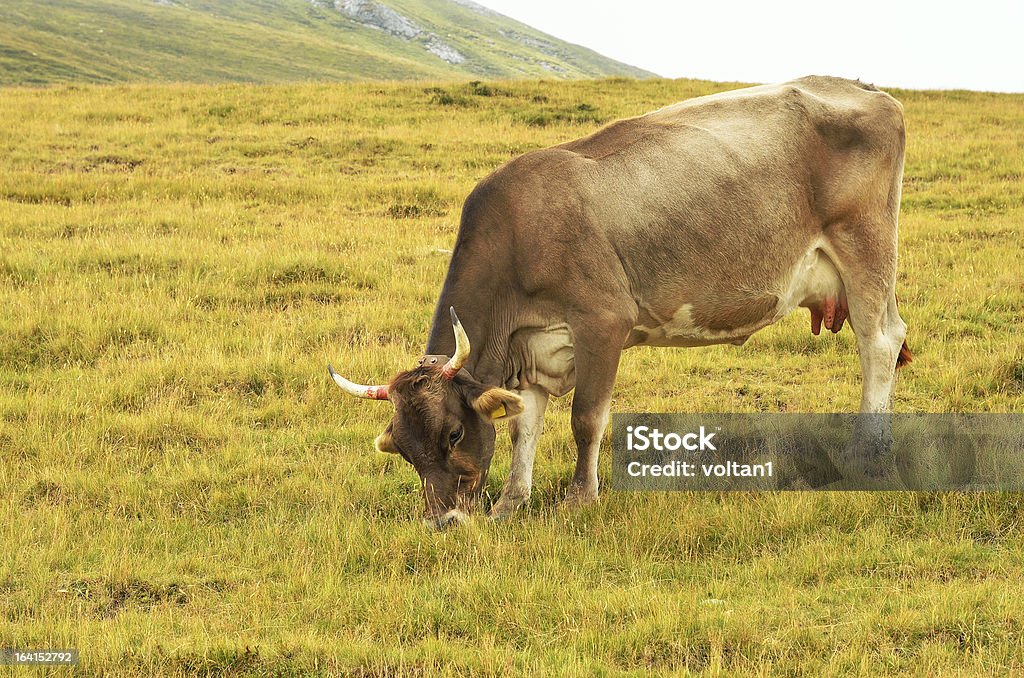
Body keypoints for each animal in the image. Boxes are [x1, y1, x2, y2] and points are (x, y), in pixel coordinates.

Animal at [329, 75, 913, 532]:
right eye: (402, 449)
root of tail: (861, 87)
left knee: (879, 343)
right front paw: (511, 503)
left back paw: (870, 450)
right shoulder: (531, 351)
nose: (443, 522)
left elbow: (586, 419)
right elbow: (522, 429)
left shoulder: (602, 322)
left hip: (866, 246)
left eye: (452, 433)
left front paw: (579, 499)